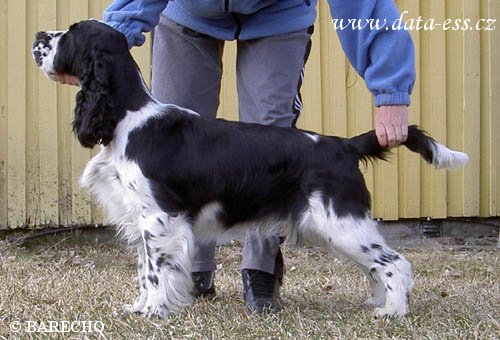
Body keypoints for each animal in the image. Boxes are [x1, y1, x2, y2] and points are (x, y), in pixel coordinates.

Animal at [33, 20, 466, 318]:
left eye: (69, 34)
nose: (38, 35)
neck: (129, 117)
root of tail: (342, 145)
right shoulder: (142, 219)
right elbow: (145, 269)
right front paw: (140, 306)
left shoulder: (160, 218)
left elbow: (156, 270)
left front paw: (154, 310)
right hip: (338, 226)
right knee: (377, 266)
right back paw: (379, 302)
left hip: (342, 222)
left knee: (394, 263)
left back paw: (393, 311)